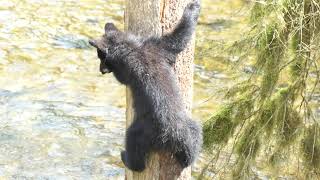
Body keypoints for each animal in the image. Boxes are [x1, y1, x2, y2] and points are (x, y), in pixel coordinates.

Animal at [89, 0, 201, 172]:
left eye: (102, 58)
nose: (101, 71)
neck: (131, 48)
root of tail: (172, 134)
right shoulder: (159, 47)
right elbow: (179, 37)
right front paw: (193, 7)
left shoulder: (126, 66)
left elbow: (123, 78)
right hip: (190, 127)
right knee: (194, 142)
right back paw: (188, 160)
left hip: (142, 131)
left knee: (134, 148)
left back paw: (126, 158)